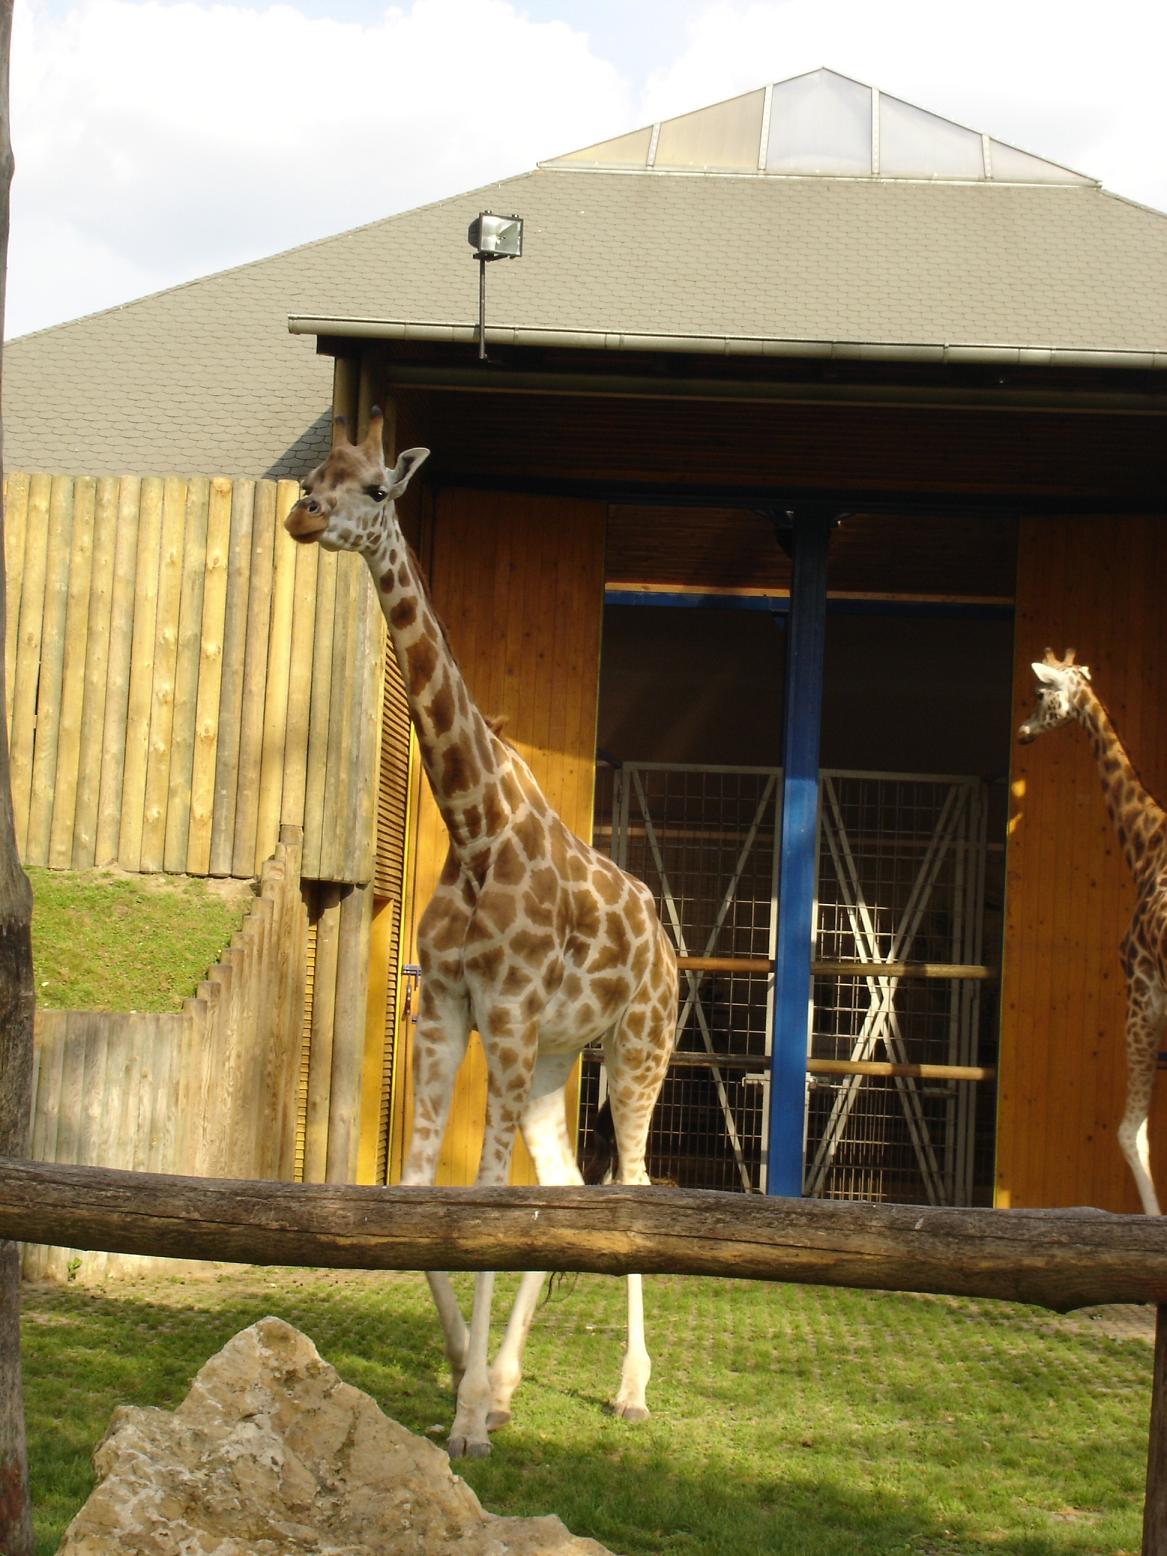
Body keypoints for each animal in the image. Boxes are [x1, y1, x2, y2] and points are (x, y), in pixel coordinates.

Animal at [286, 410, 681, 1456]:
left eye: (374, 488)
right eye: (312, 476)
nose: (303, 517)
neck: (474, 825)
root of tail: (667, 946)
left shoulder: (502, 1014)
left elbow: (481, 1200)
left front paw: (466, 1421)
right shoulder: (448, 1010)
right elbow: (425, 1192)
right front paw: (470, 1377)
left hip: (634, 1051)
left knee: (628, 1188)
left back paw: (630, 1389)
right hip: (552, 1060)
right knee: (568, 1190)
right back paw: (505, 1379)